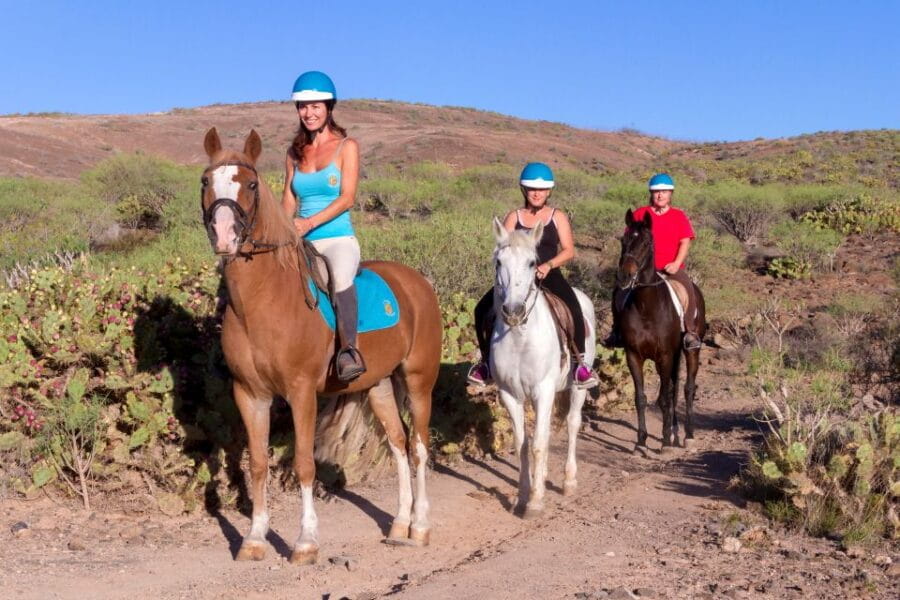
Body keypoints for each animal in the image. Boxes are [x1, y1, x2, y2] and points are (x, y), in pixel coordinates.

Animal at [200, 128, 442, 563]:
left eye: (251, 184)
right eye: (206, 181)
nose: (225, 237)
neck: (263, 303)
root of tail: (416, 282)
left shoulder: (301, 393)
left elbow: (304, 464)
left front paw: (306, 542)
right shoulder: (250, 394)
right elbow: (257, 464)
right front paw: (255, 539)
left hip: (418, 381)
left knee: (418, 446)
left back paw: (420, 526)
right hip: (379, 384)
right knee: (398, 445)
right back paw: (399, 523)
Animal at [489, 217, 596, 518]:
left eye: (532, 262)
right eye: (498, 262)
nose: (513, 310)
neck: (519, 337)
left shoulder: (543, 390)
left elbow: (537, 444)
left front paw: (535, 502)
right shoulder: (511, 395)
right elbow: (523, 445)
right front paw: (523, 496)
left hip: (577, 387)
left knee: (572, 423)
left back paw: (568, 482)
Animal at [615, 208, 706, 452]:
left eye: (647, 242)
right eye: (623, 240)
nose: (625, 276)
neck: (647, 307)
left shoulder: (665, 355)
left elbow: (665, 397)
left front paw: (664, 442)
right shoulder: (634, 356)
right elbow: (641, 398)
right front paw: (641, 442)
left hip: (690, 351)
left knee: (687, 388)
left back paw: (687, 436)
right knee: (673, 389)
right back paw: (674, 432)